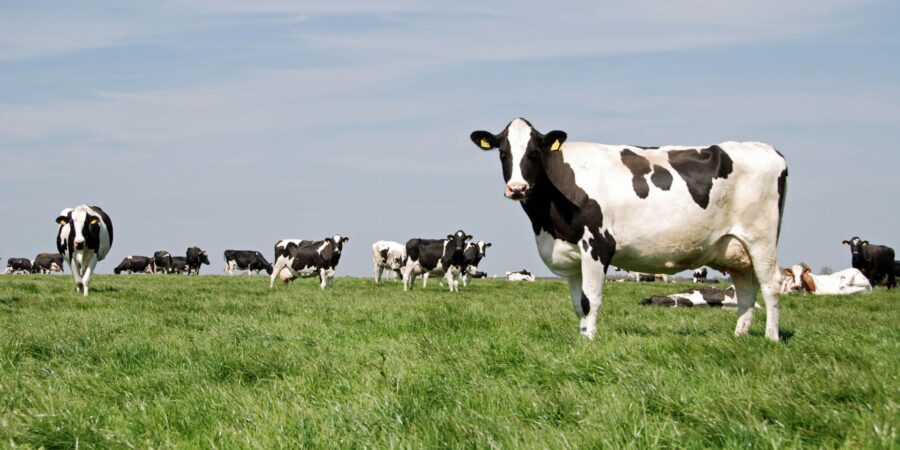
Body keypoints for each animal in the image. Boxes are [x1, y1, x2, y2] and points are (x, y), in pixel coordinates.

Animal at [471, 118, 787, 340]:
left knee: (771, 285)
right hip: (735, 248)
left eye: (534, 152)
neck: (547, 224)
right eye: (503, 152)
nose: (517, 188)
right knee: (745, 291)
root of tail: (769, 149)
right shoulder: (571, 256)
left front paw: (589, 342)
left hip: (761, 240)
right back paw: (739, 336)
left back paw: (770, 338)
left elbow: (590, 300)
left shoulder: (598, 245)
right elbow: (578, 303)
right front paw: (582, 338)